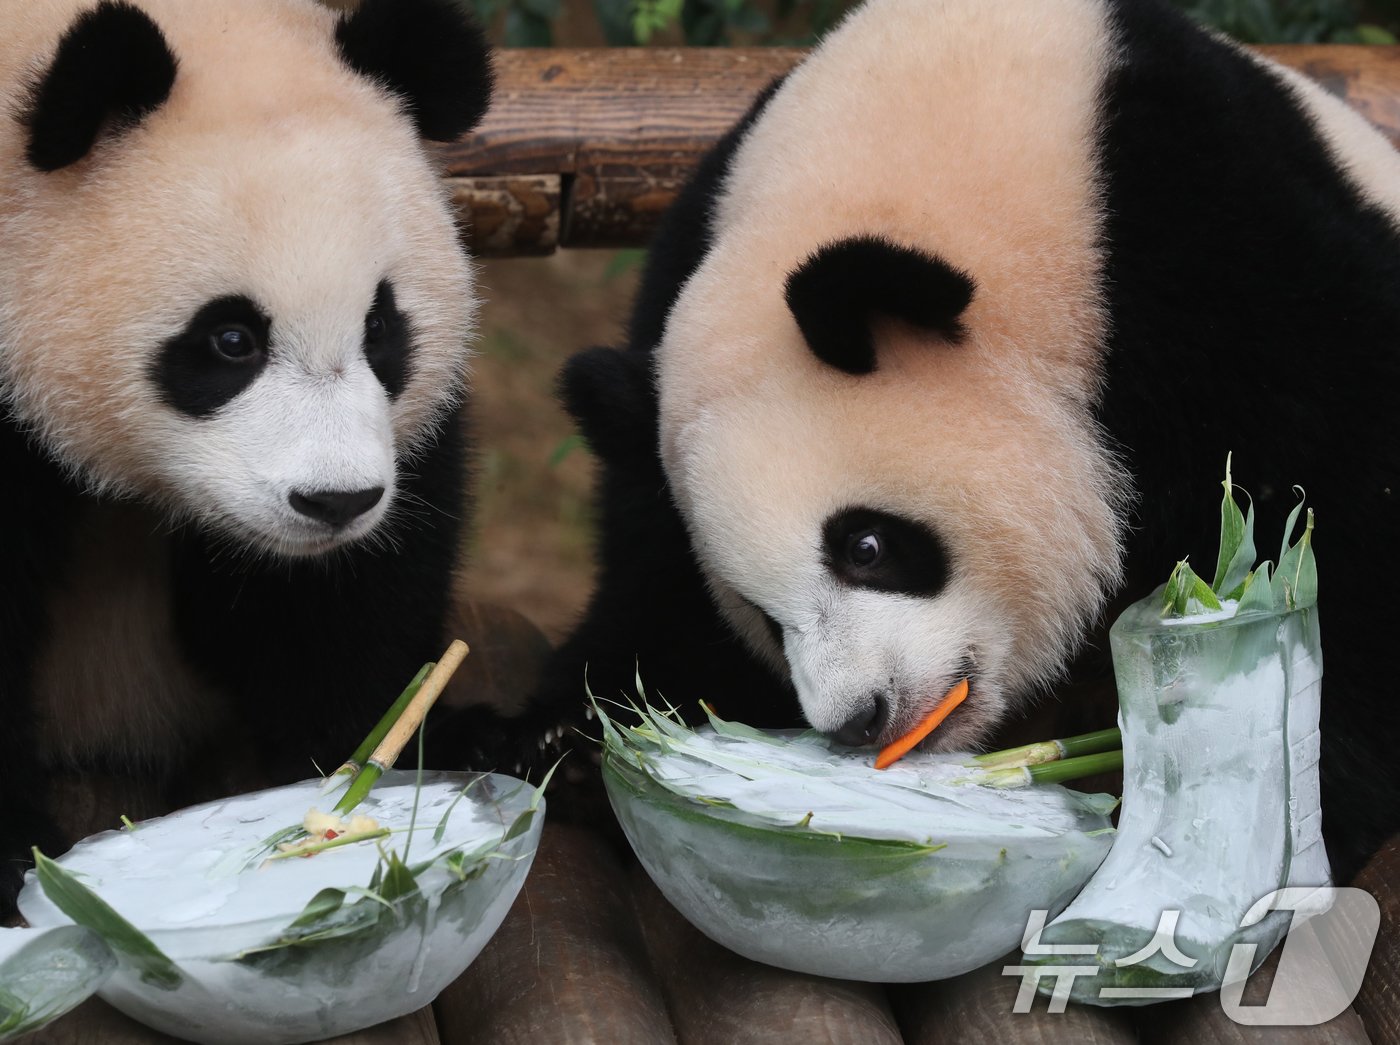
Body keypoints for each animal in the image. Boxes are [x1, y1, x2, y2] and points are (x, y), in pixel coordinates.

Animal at [490, 0, 1400, 879]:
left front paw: (1303, 805)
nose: (860, 717)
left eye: (865, 545)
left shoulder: (1212, 248)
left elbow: (1344, 488)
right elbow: (654, 571)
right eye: (762, 617)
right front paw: (566, 742)